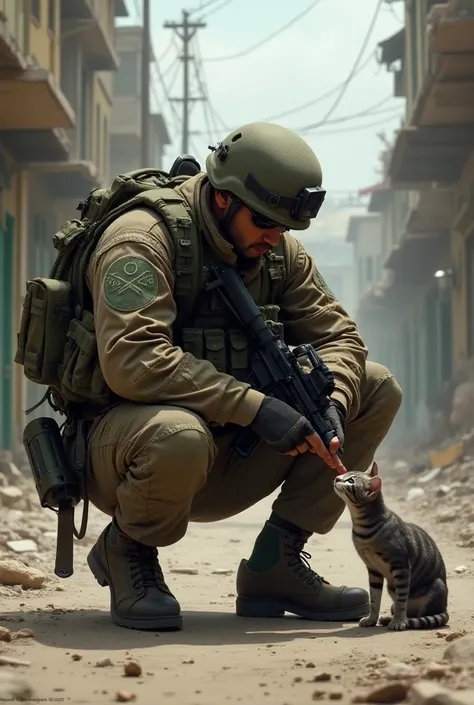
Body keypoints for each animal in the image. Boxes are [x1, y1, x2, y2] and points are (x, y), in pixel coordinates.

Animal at [334, 460, 448, 628]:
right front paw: (371, 619)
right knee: (408, 612)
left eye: (351, 481)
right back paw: (389, 618)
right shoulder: (373, 570)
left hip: (435, 588)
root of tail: (445, 608)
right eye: (345, 474)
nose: (336, 478)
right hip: (391, 588)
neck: (363, 529)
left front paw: (399, 622)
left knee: (420, 615)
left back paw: (402, 620)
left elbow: (401, 600)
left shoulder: (400, 565)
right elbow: (374, 600)